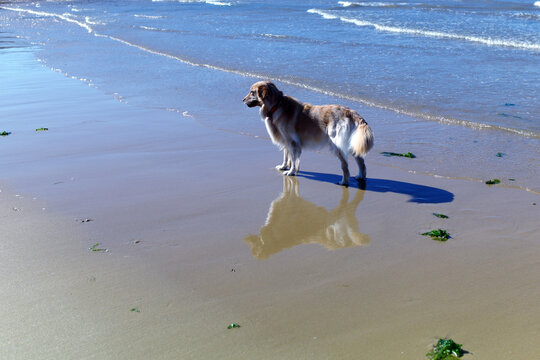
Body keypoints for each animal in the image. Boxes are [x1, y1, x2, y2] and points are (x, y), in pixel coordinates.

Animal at [243, 81, 374, 186]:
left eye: (252, 92)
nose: (242, 100)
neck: (276, 106)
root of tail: (350, 112)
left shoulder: (292, 142)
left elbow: (293, 159)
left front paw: (291, 171)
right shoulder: (286, 140)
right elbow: (286, 156)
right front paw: (283, 166)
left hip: (337, 145)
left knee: (345, 166)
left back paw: (344, 182)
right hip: (351, 142)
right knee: (360, 161)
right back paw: (361, 176)